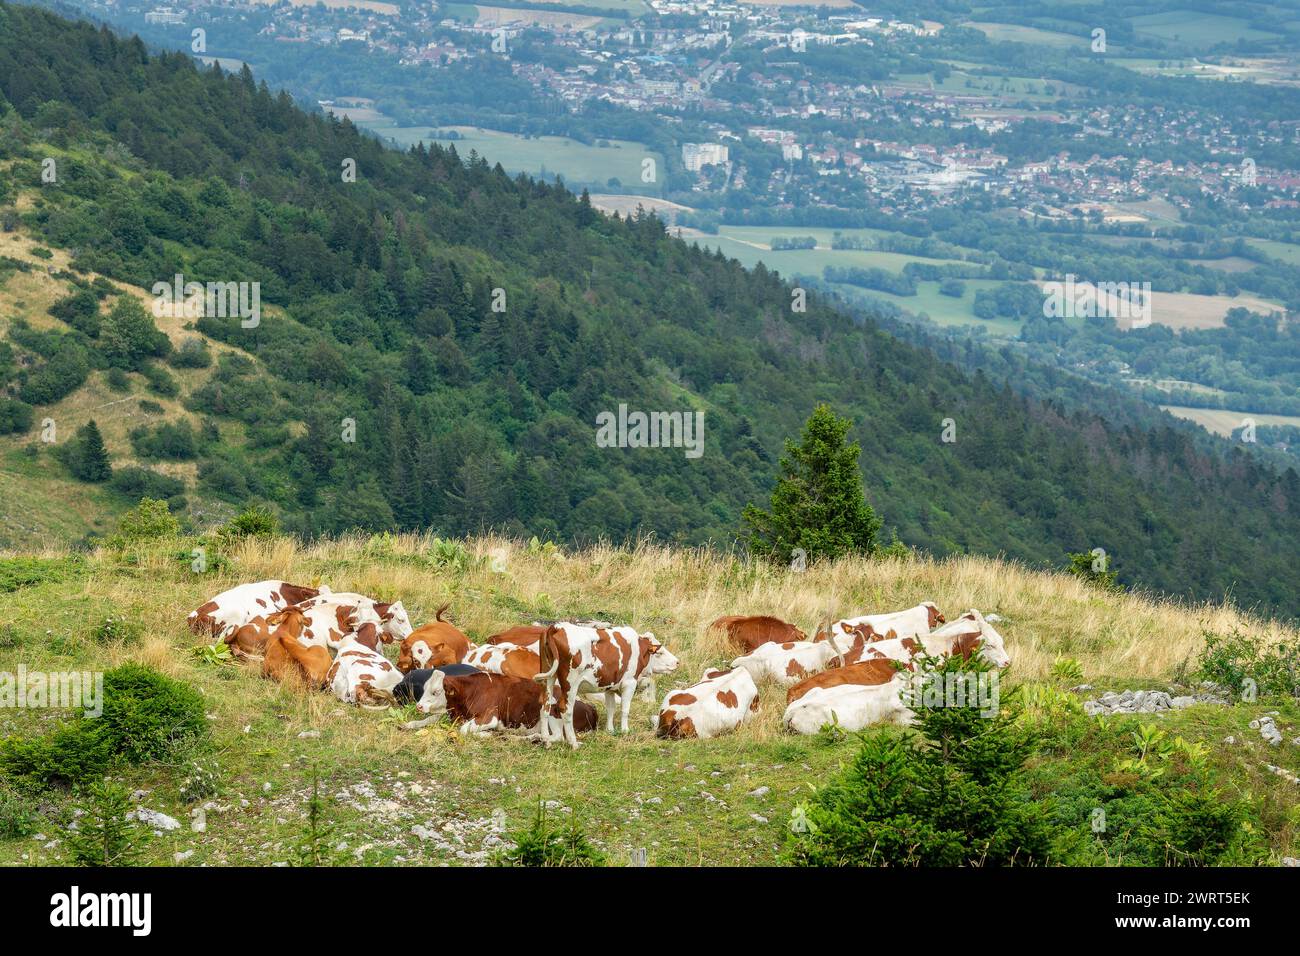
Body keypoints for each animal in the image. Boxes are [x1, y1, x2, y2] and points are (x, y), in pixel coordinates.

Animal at [535, 621, 686, 749]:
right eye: (659, 652)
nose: (677, 662)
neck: (638, 648)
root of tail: (557, 627)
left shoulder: (610, 687)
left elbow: (610, 708)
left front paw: (610, 730)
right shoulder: (629, 683)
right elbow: (625, 709)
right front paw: (625, 730)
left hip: (548, 677)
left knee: (545, 706)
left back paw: (546, 741)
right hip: (570, 682)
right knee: (565, 709)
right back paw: (573, 743)